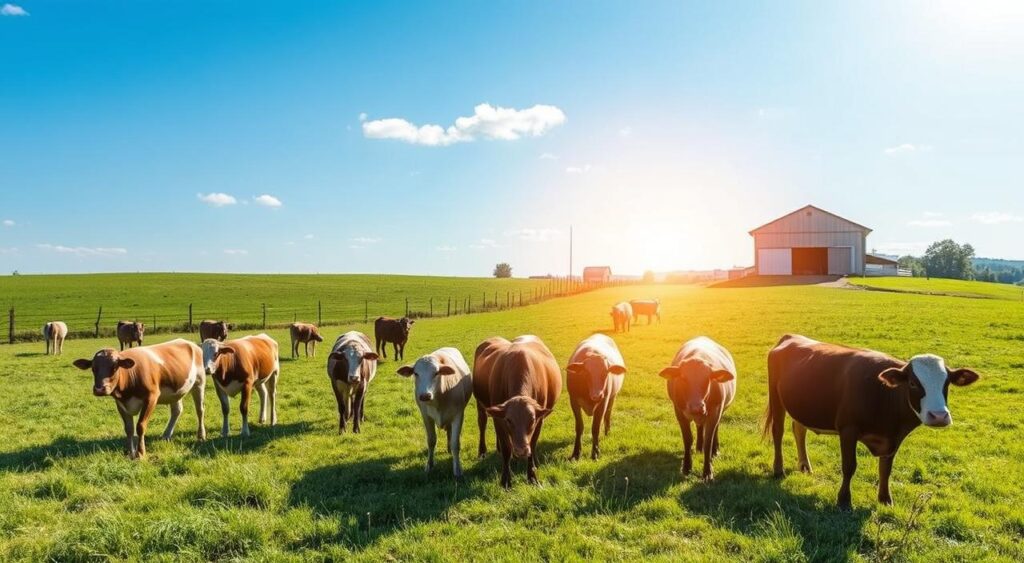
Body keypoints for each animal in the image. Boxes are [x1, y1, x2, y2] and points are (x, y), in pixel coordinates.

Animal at [72, 339, 205, 458]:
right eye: (93, 368)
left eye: (114, 367)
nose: (99, 389)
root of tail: (189, 343)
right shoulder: (120, 404)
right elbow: (129, 429)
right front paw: (130, 453)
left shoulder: (151, 397)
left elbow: (140, 426)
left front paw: (140, 453)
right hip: (175, 392)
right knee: (177, 410)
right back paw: (166, 435)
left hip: (199, 383)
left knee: (200, 410)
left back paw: (201, 435)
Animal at [397, 348, 473, 481]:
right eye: (416, 373)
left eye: (436, 373)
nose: (425, 396)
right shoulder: (426, 416)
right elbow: (431, 440)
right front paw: (430, 465)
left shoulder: (458, 415)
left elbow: (455, 444)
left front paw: (457, 470)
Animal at [473, 335, 561, 489]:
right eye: (509, 420)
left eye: (532, 419)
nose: (521, 451)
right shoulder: (500, 419)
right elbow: (507, 449)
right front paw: (506, 480)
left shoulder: (539, 420)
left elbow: (532, 444)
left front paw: (532, 477)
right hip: (480, 404)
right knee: (482, 423)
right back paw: (483, 451)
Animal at [663, 337, 737, 483]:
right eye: (683, 378)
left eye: (708, 379)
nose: (696, 406)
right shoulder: (679, 412)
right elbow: (687, 439)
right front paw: (686, 467)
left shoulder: (715, 411)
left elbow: (708, 440)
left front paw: (707, 471)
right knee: (699, 427)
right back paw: (698, 447)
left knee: (715, 429)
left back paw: (714, 450)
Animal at [765, 335, 978, 511]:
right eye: (913, 383)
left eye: (946, 383)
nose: (939, 416)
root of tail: (791, 336)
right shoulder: (848, 429)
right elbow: (849, 466)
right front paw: (844, 500)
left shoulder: (894, 438)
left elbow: (886, 470)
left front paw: (885, 499)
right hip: (776, 397)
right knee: (778, 432)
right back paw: (778, 469)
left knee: (799, 430)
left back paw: (805, 466)